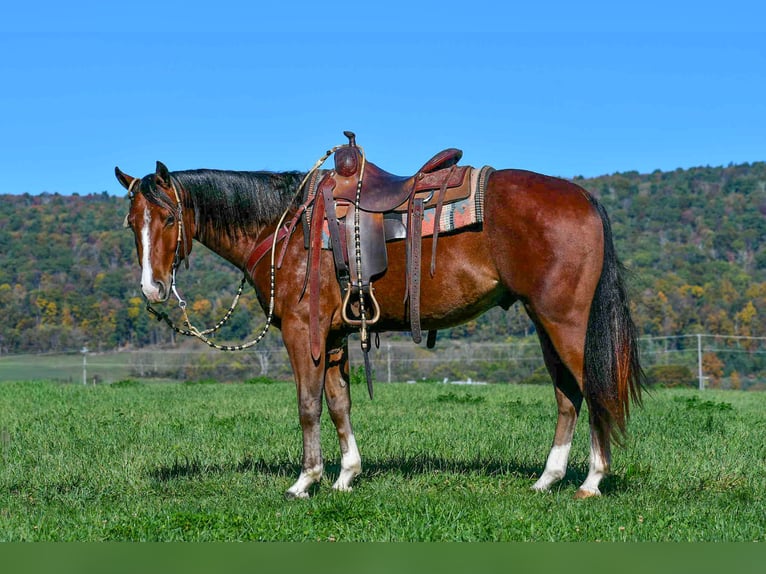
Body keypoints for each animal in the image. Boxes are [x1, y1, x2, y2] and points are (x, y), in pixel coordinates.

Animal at [115, 149, 642, 499]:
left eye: (168, 219)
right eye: (132, 222)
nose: (152, 289)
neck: (286, 227)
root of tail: (583, 196)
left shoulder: (301, 331)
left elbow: (308, 405)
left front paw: (305, 481)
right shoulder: (332, 336)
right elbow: (339, 404)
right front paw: (346, 475)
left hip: (565, 323)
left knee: (593, 390)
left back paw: (592, 481)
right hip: (544, 322)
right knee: (567, 396)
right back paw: (547, 479)